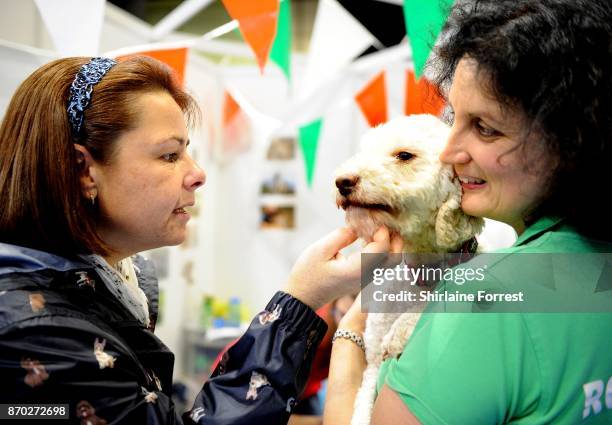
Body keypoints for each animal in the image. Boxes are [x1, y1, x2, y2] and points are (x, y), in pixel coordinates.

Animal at [334, 113, 482, 424]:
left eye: (404, 155)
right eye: (366, 151)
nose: (342, 181)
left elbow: (426, 308)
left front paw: (398, 334)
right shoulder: (372, 367)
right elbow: (363, 403)